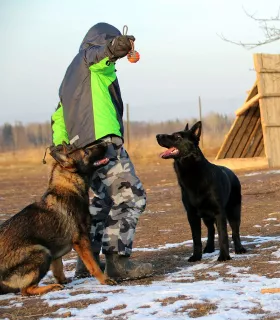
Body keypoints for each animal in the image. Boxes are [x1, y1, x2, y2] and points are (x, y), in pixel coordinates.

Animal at [156, 121, 246, 262]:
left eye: (177, 137)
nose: (157, 135)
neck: (194, 174)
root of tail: (232, 173)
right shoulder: (192, 215)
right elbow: (196, 238)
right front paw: (196, 256)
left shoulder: (219, 213)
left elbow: (223, 235)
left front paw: (224, 256)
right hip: (206, 216)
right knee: (211, 230)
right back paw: (209, 248)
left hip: (234, 212)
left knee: (235, 232)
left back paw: (239, 249)